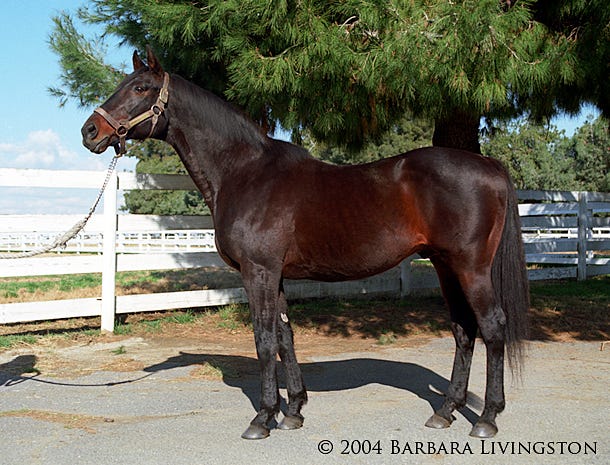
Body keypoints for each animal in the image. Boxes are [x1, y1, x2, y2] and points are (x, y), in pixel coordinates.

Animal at [81, 47, 529, 440]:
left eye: (140, 87)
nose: (90, 131)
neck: (245, 171)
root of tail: (489, 165)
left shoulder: (258, 271)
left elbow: (264, 340)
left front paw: (262, 418)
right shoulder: (275, 274)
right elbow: (284, 336)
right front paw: (293, 410)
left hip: (471, 267)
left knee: (492, 327)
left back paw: (486, 419)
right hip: (444, 266)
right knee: (463, 329)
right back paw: (446, 411)